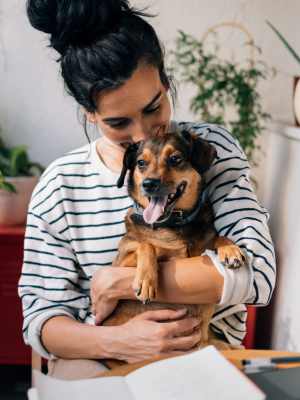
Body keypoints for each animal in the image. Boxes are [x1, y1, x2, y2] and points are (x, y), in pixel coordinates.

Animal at [102, 130, 245, 368]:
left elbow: (217, 236)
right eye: (141, 163)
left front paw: (230, 249)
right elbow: (146, 244)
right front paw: (146, 280)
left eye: (175, 159)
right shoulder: (119, 263)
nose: (149, 184)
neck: (173, 225)